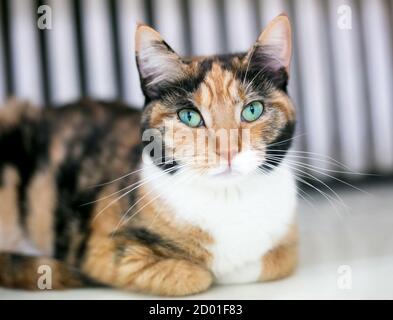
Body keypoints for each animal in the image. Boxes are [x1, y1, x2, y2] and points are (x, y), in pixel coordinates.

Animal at [0, 14, 294, 296]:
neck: (228, 199)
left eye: (252, 110)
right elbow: (195, 276)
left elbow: (278, 259)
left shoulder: (286, 242)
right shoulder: (102, 249)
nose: (228, 150)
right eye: (189, 116)